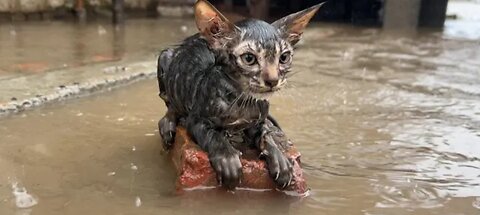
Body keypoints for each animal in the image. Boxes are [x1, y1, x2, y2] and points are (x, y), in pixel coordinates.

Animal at [158, 0, 322, 189]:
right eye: (249, 58)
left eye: (284, 58)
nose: (273, 80)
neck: (243, 101)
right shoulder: (197, 119)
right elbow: (213, 135)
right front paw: (227, 158)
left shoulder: (257, 122)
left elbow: (266, 136)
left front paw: (279, 159)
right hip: (165, 56)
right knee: (169, 103)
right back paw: (169, 124)